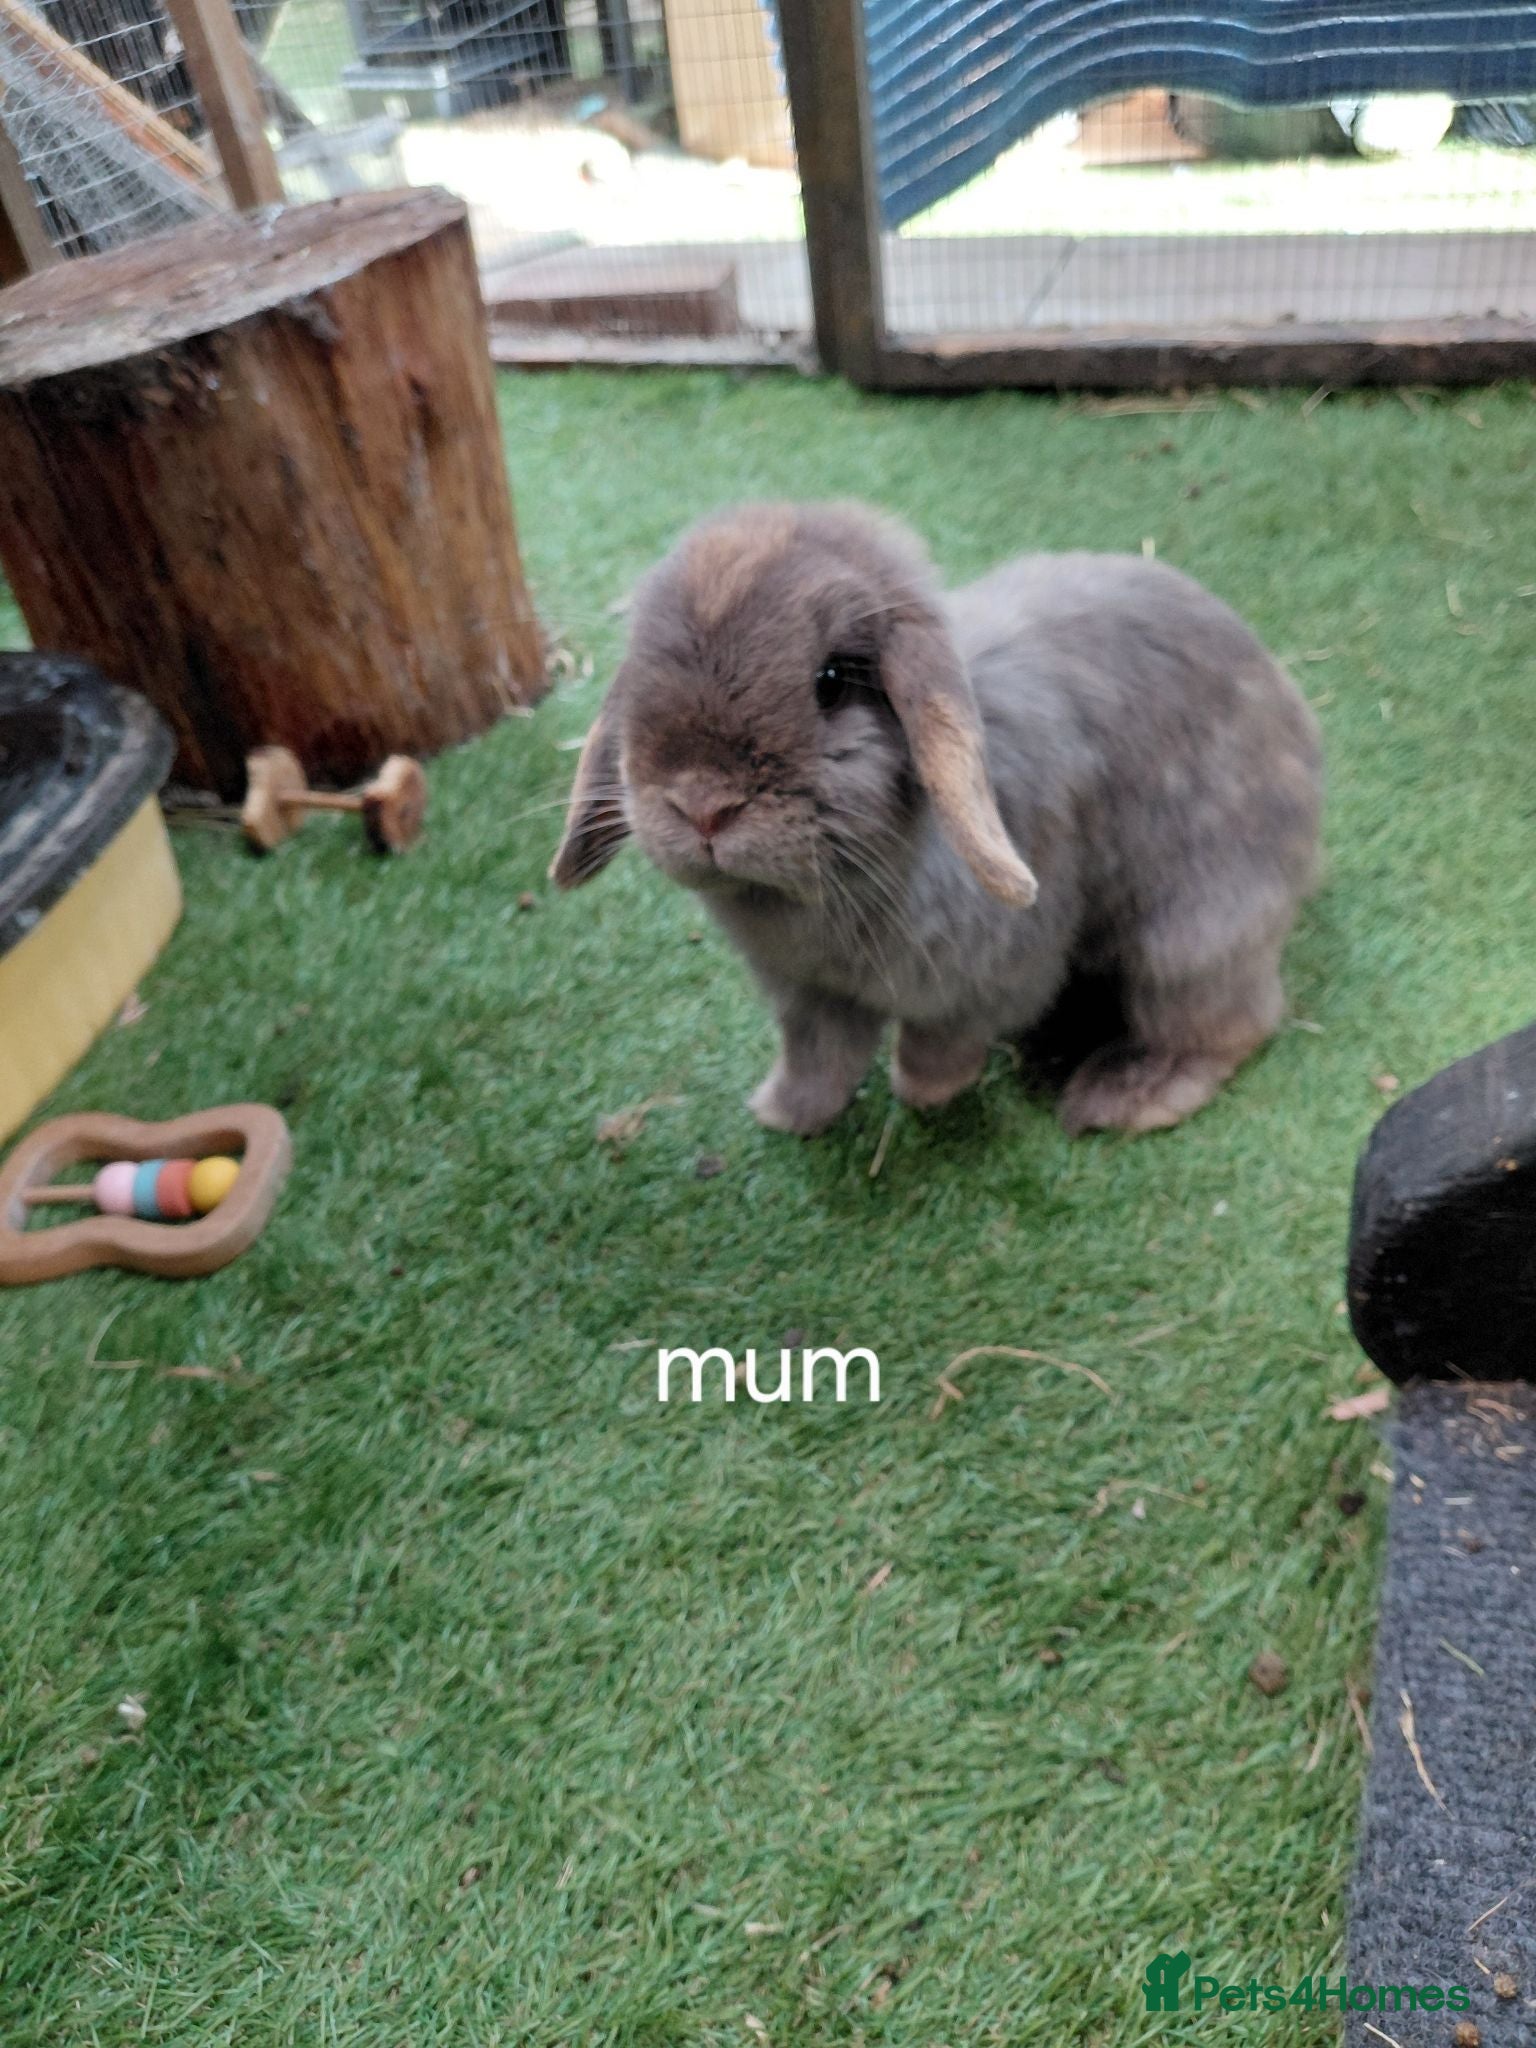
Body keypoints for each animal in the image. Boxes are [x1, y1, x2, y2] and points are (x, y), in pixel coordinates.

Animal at [552, 501, 1322, 1138]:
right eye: (640, 672)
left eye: (832, 681)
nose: (704, 806)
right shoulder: (809, 996)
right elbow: (818, 1058)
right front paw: (785, 1114)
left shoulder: (991, 975)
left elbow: (936, 1040)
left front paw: (924, 1090)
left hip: (1190, 937)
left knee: (1231, 1023)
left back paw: (1125, 1098)